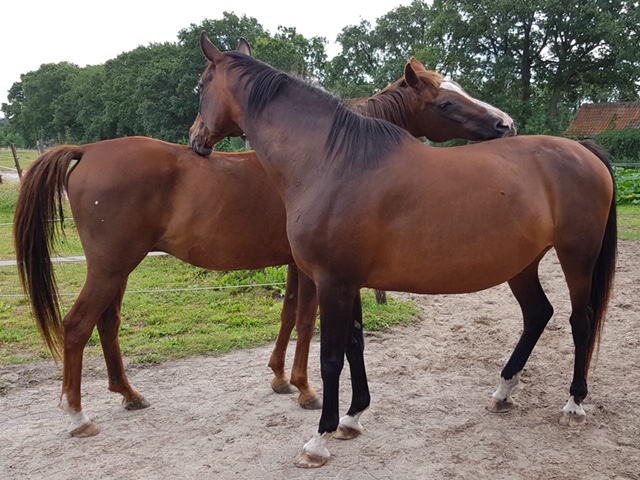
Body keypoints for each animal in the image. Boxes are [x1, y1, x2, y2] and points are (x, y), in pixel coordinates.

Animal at [13, 47, 516, 438]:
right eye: (447, 101)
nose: (506, 124)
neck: (326, 155)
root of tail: (86, 150)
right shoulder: (314, 269)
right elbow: (307, 321)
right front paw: (305, 388)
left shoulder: (298, 265)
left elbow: (290, 314)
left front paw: (279, 378)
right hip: (110, 265)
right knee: (77, 326)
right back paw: (78, 416)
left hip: (119, 267)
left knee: (107, 323)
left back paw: (129, 394)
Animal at [189, 33, 617, 468]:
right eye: (445, 101)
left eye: (201, 86)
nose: (196, 138)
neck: (332, 161)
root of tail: (584, 151)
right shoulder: (349, 282)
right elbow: (355, 344)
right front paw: (352, 417)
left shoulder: (332, 282)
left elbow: (331, 358)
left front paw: (318, 440)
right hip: (523, 264)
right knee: (537, 314)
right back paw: (502, 393)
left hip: (576, 257)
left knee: (580, 320)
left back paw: (574, 404)